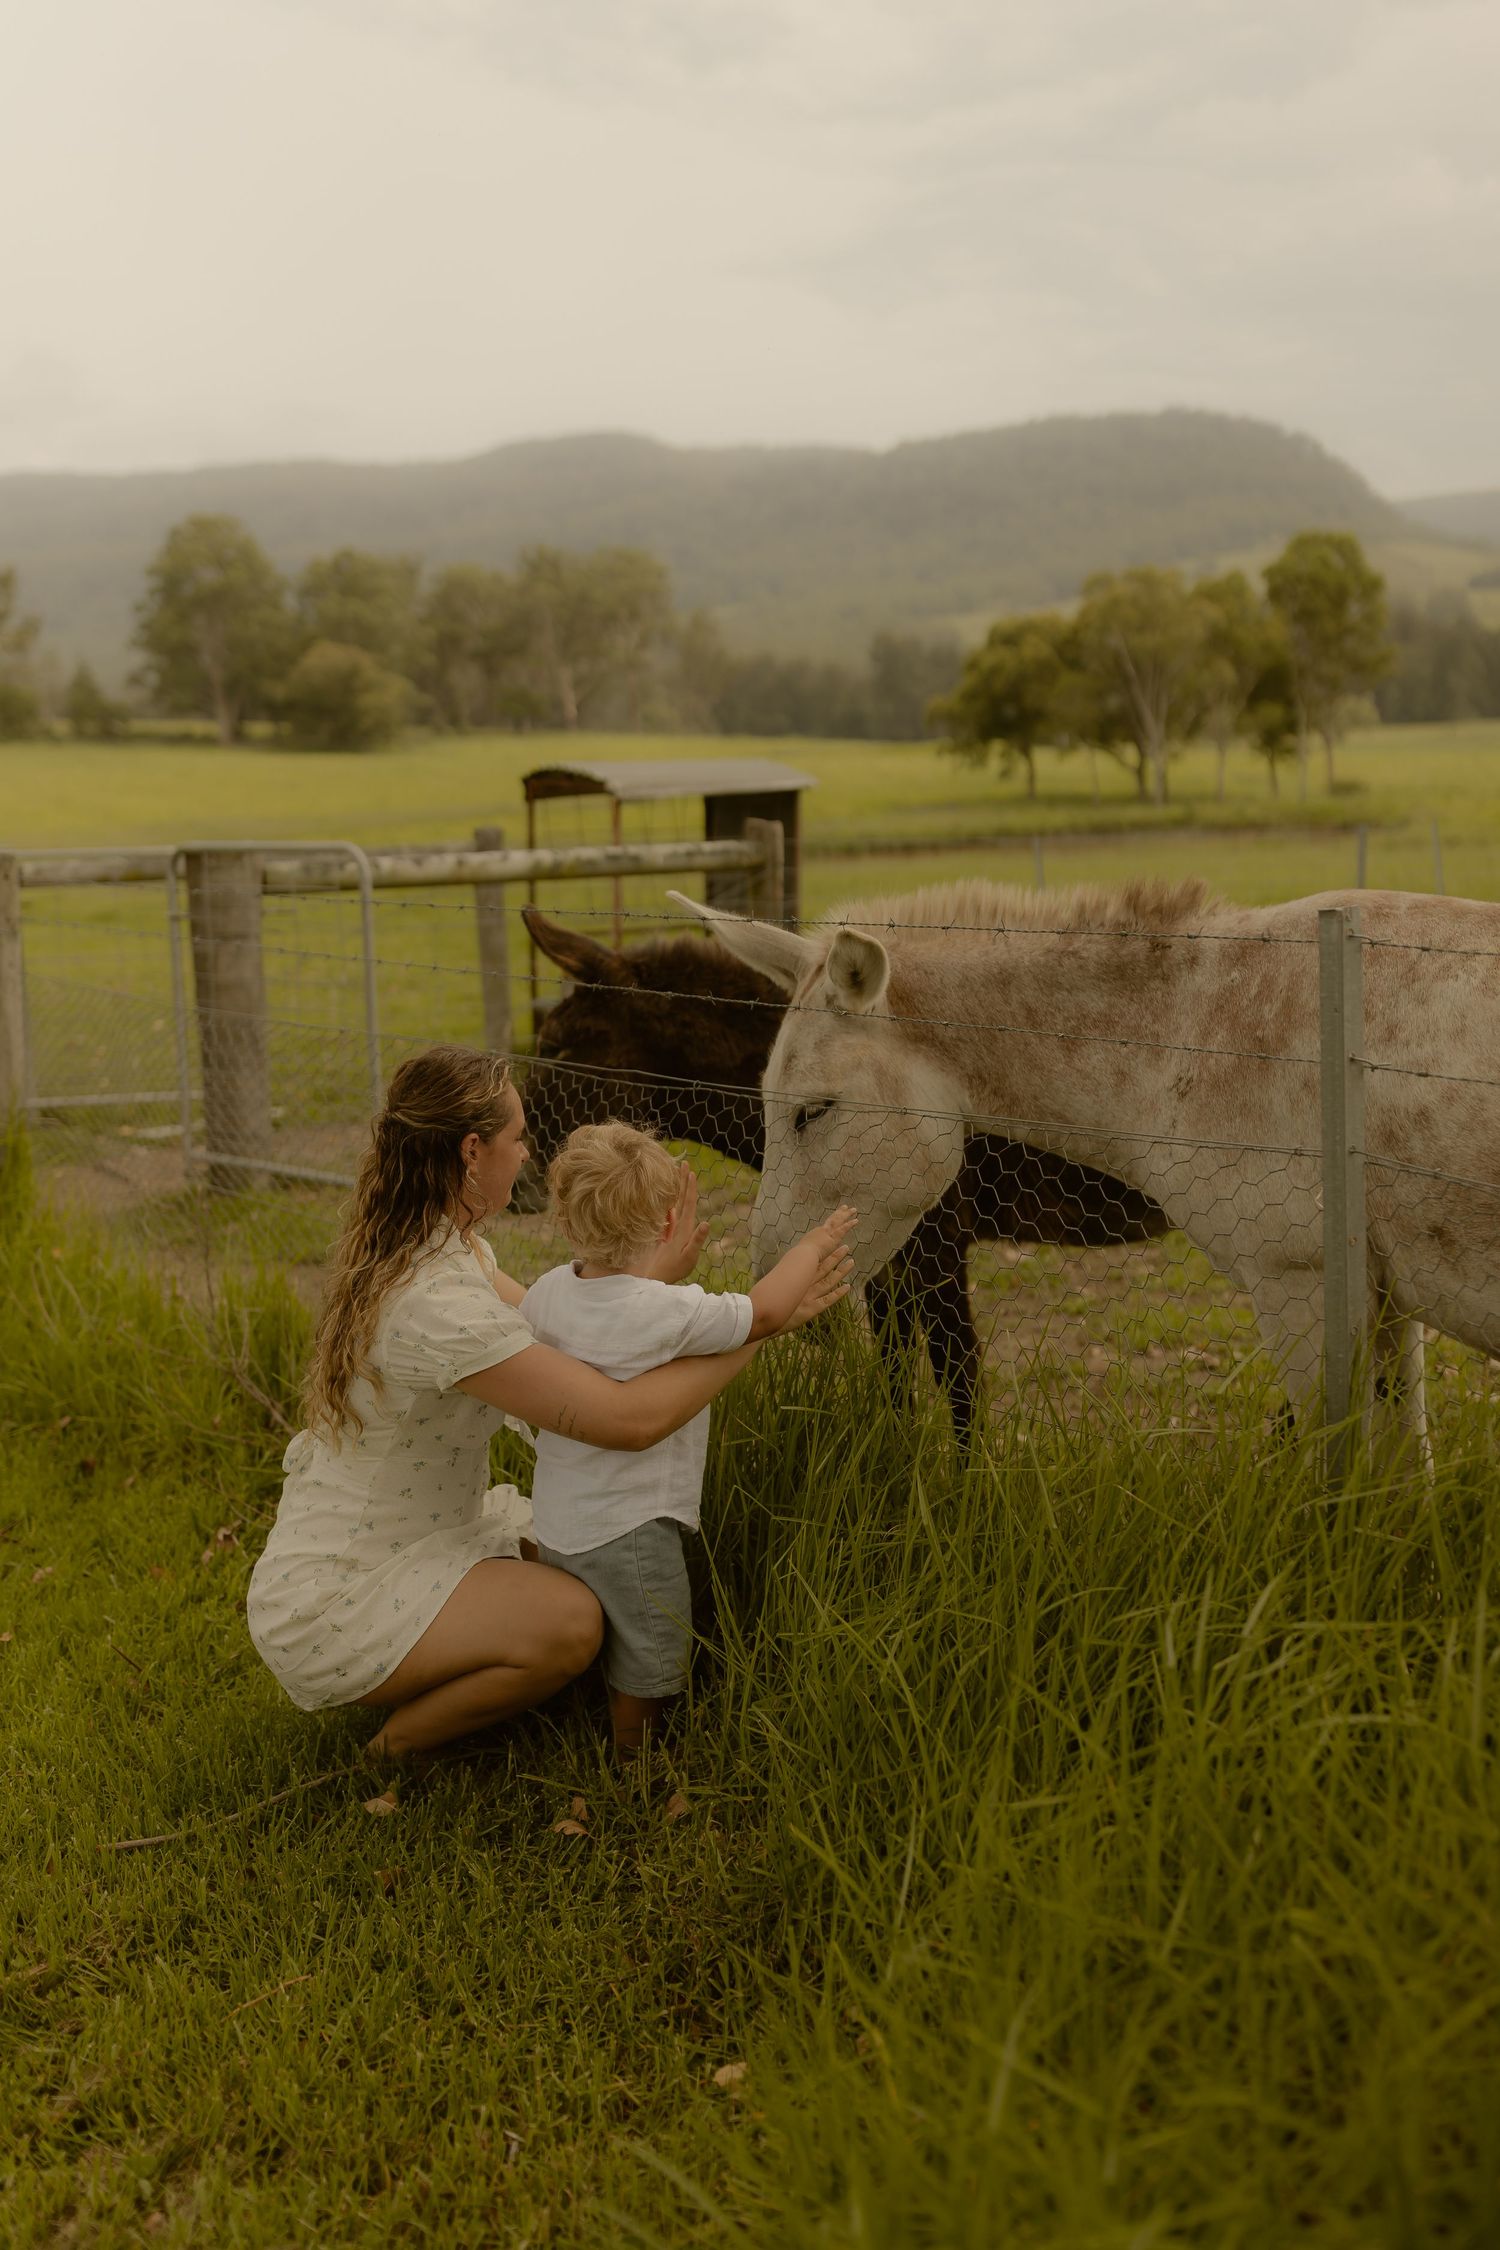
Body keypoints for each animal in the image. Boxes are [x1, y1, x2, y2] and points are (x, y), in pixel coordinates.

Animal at [515, 905, 1167, 1440]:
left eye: (560, 1048)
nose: (519, 1187)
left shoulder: (934, 1242)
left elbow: (958, 1377)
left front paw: (965, 1491)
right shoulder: (883, 1250)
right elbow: (896, 1369)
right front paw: (902, 1467)